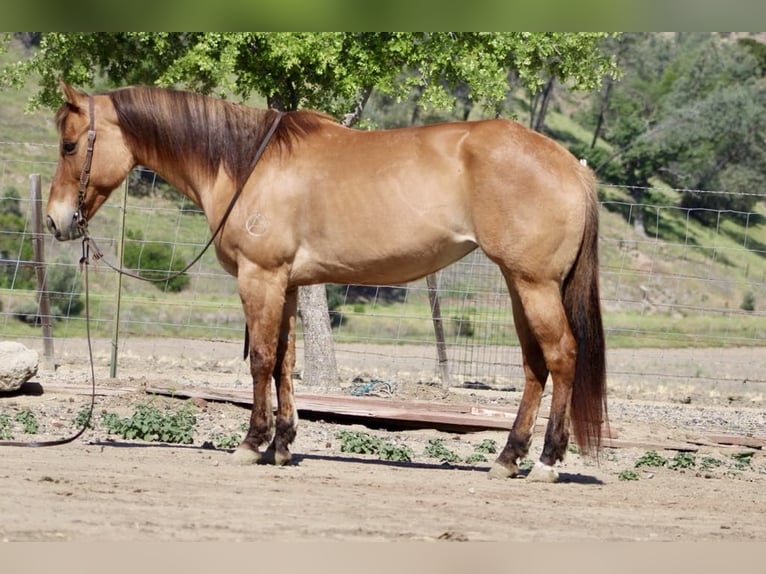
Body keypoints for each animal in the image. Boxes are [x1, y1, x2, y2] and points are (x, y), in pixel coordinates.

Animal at [47, 82, 607, 483]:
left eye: (70, 144)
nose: (56, 221)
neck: (248, 164)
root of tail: (572, 166)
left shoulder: (261, 278)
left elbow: (261, 361)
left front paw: (251, 444)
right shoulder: (289, 284)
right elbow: (284, 363)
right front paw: (282, 445)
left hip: (533, 284)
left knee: (561, 356)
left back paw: (547, 462)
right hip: (519, 285)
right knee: (535, 367)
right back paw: (508, 458)